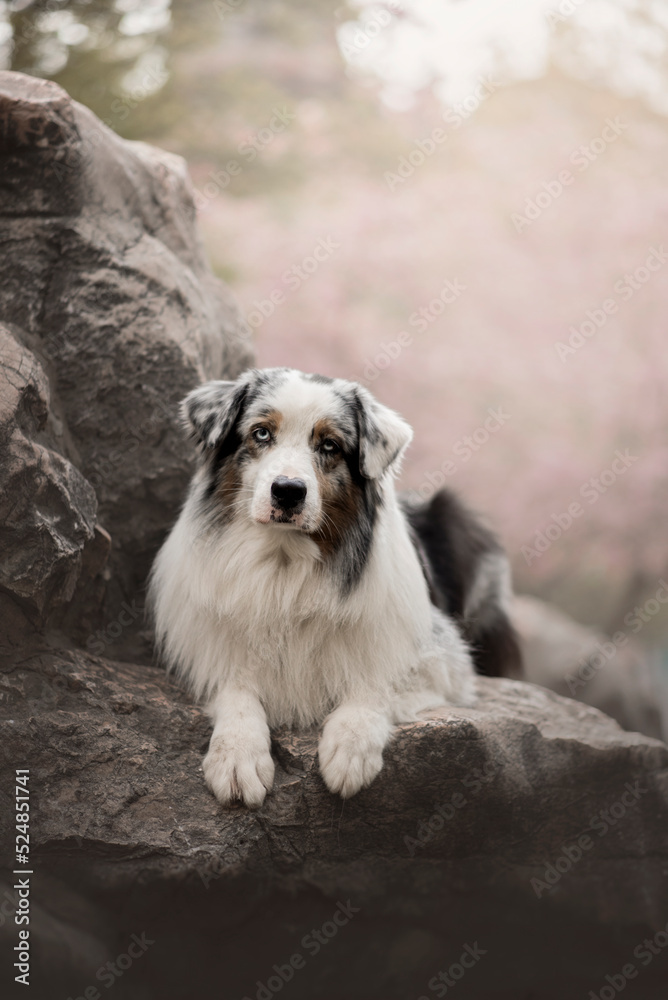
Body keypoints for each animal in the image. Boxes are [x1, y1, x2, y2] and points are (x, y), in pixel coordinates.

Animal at [149, 372, 520, 808]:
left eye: (329, 445)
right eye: (261, 433)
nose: (288, 490)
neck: (285, 564)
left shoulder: (441, 656)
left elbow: (375, 680)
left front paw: (350, 747)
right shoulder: (212, 649)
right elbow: (236, 690)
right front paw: (238, 755)